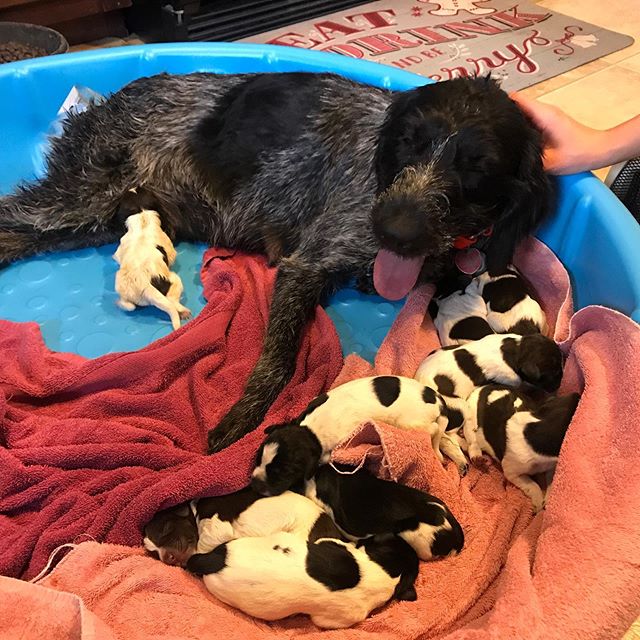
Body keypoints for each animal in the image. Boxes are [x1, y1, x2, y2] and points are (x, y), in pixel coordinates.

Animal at [112, 188, 190, 330]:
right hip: (175, 279)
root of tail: (146, 287)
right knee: (172, 301)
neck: (142, 215)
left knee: (128, 305)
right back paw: (183, 311)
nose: (132, 187)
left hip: (124, 291)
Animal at [252, 372, 468, 498]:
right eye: (258, 458)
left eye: (283, 472)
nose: (254, 484)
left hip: (410, 423)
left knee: (435, 430)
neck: (311, 430)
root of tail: (438, 399)